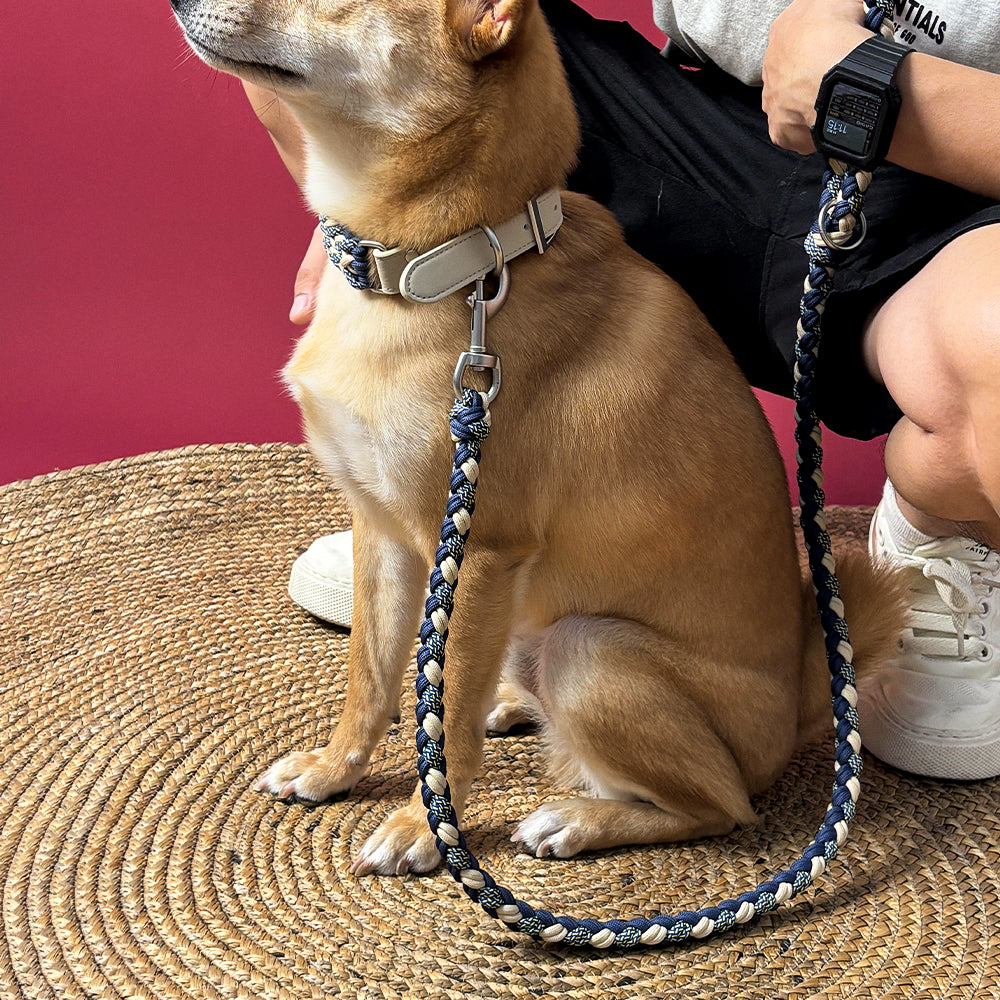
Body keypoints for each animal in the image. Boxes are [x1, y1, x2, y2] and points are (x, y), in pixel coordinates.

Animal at [172, 0, 908, 876]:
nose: (175, 3)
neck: (455, 266)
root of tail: (799, 704)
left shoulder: (481, 549)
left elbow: (445, 714)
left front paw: (427, 828)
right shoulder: (380, 530)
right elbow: (374, 678)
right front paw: (334, 770)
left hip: (588, 650)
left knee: (723, 807)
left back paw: (579, 818)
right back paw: (515, 707)